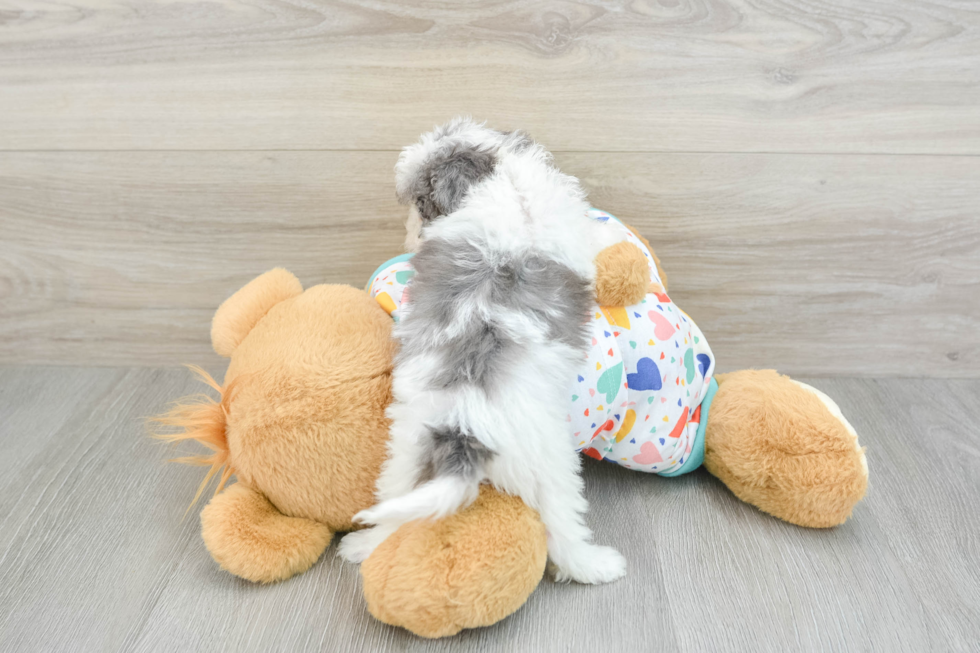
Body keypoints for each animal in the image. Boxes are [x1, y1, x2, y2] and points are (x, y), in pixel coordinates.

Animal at [336, 117, 628, 580]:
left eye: (420, 202)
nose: (411, 234)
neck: (502, 174)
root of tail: (463, 427)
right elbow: (595, 236)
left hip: (406, 452)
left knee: (394, 508)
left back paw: (364, 545)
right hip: (554, 465)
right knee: (563, 532)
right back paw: (597, 565)